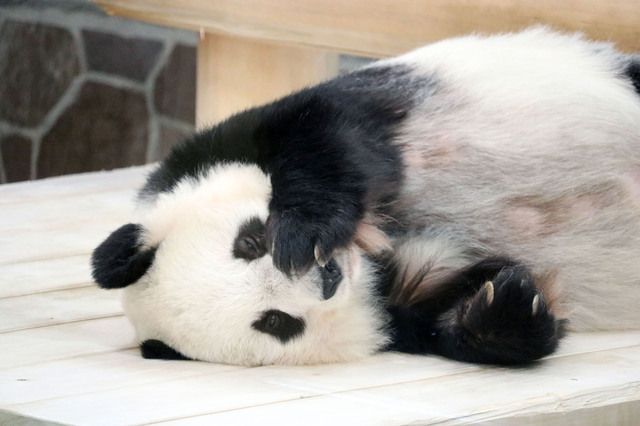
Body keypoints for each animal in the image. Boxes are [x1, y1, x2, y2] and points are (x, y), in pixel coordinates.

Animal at [90, 28, 640, 366]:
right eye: (275, 323)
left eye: (249, 242)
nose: (324, 275)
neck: (373, 251)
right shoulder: (399, 309)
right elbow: (448, 322)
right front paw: (506, 307)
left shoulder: (238, 140)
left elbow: (324, 137)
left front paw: (303, 232)